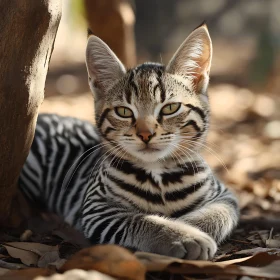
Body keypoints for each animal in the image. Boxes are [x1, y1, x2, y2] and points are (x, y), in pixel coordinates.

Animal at [19, 24, 238, 260]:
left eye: (170, 108)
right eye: (124, 112)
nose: (145, 134)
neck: (159, 176)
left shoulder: (225, 196)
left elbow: (215, 214)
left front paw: (188, 225)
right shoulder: (97, 207)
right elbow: (142, 221)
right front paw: (184, 235)